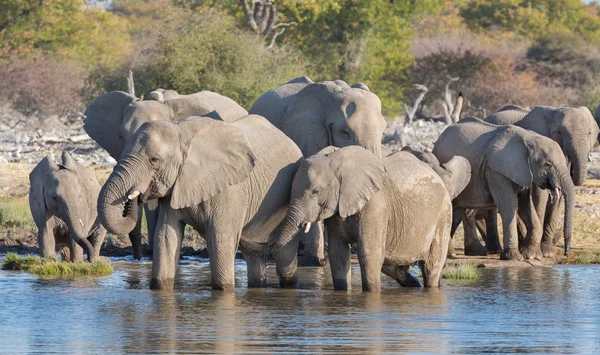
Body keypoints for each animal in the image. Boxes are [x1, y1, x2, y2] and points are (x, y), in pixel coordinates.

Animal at [99, 115, 304, 290]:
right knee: (254, 259)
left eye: (154, 160)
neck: (180, 130)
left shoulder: (229, 189)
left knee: (284, 260)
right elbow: (166, 236)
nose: (135, 196)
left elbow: (220, 239)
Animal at [432, 118, 576, 260]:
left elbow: (525, 206)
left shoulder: (523, 171)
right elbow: (508, 206)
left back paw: (473, 252)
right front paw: (514, 257)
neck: (530, 138)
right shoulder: (495, 170)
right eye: (548, 165)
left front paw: (531, 255)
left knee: (465, 210)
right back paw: (451, 254)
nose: (566, 254)